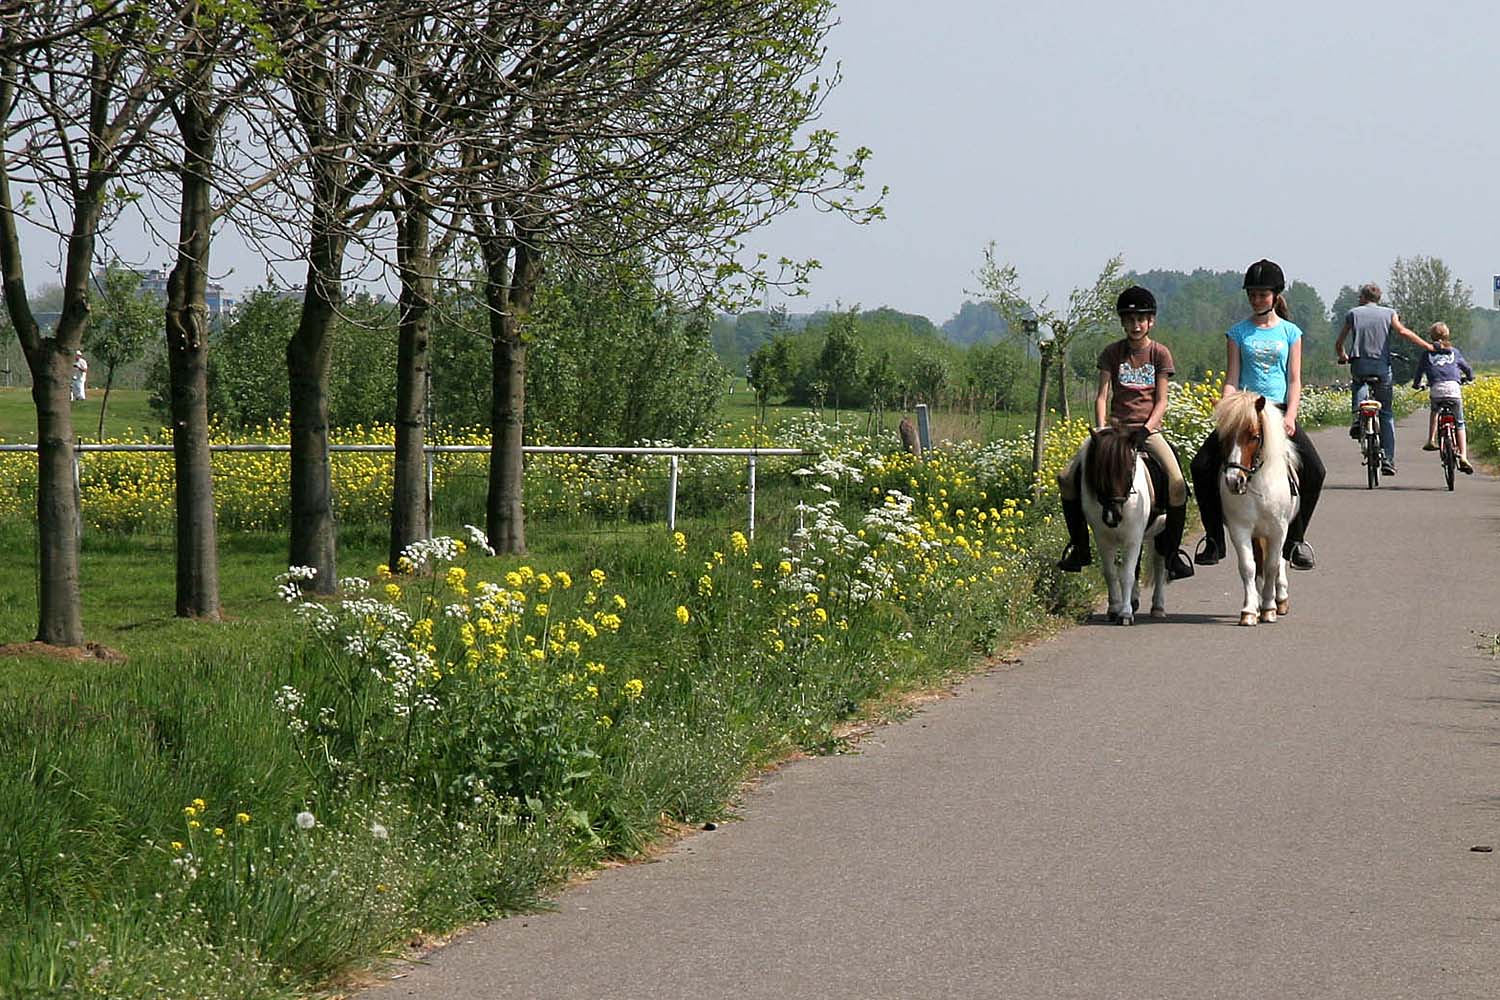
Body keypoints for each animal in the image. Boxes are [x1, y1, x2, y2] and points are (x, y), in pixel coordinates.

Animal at [1212, 392, 1296, 620]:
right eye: (1223, 437)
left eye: (1254, 436)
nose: (1234, 481)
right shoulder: (1240, 529)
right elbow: (1249, 567)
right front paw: (1250, 610)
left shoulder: (1278, 530)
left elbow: (1272, 566)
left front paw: (1269, 608)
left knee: (1279, 561)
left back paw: (1280, 599)